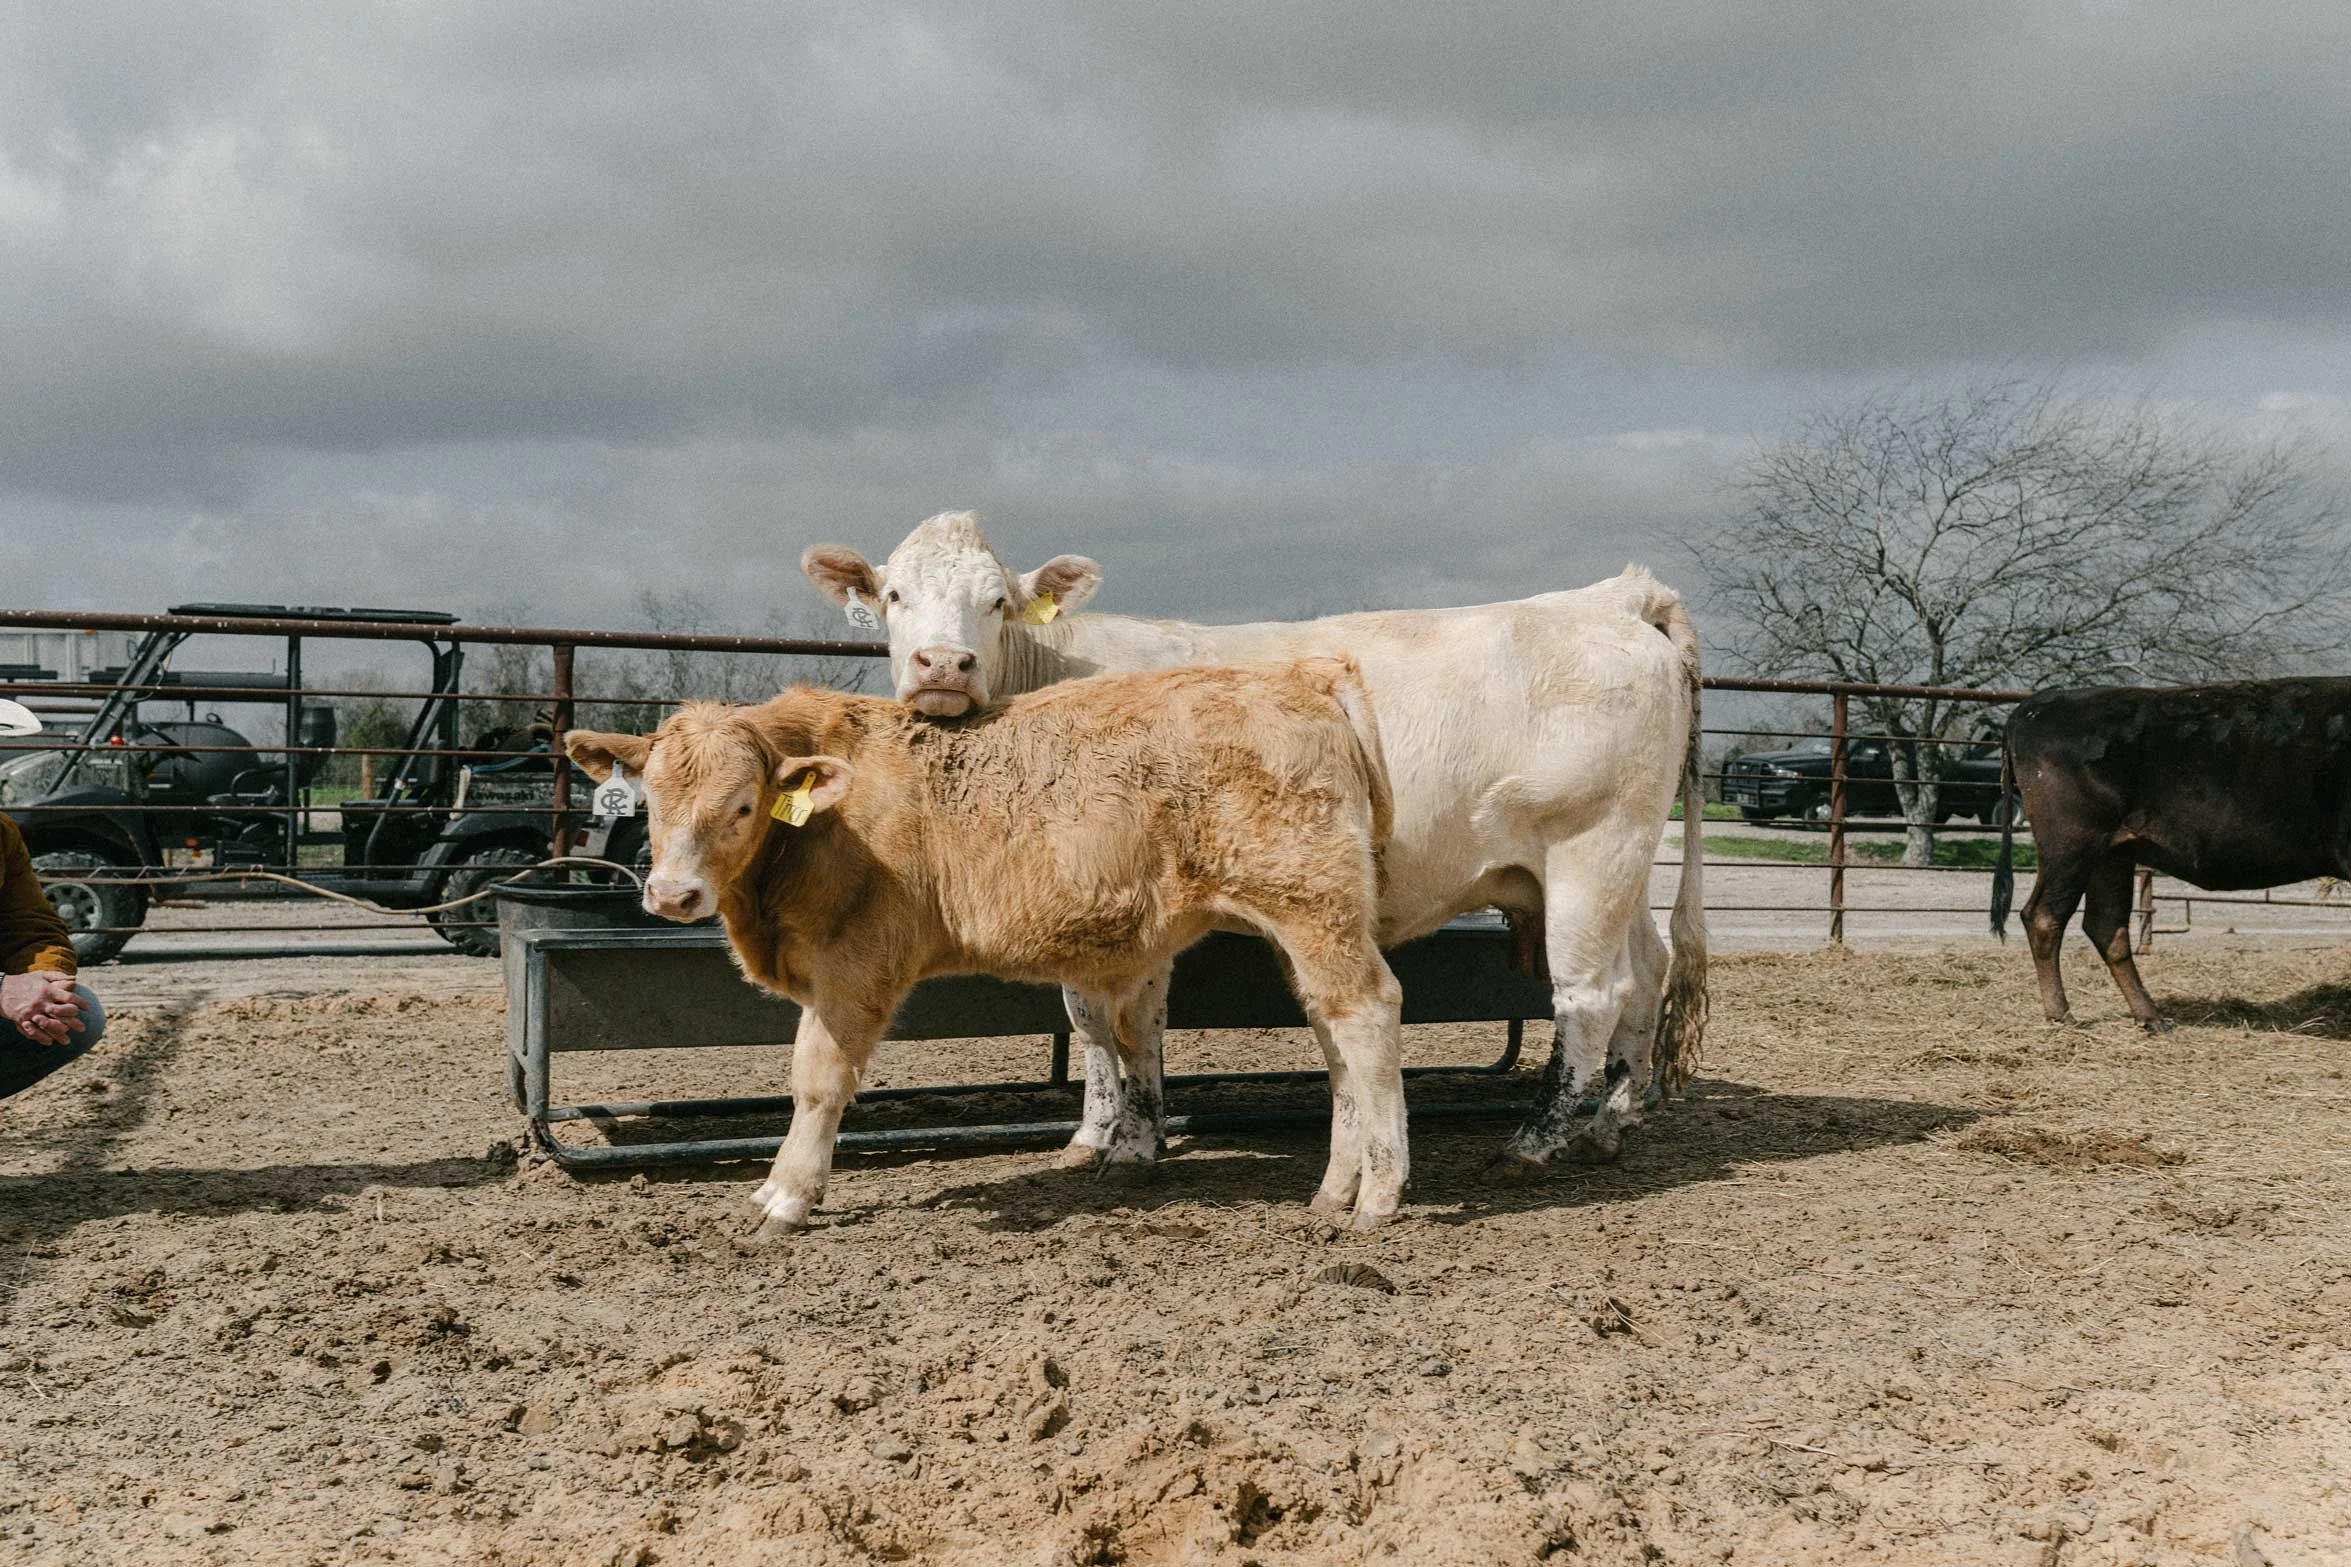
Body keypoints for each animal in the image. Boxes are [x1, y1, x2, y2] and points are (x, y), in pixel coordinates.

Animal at [562, 658, 1411, 1233]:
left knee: (1367, 1013)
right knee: (1331, 1031)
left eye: (743, 805)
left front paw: (788, 1193)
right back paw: (1335, 1186)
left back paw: (1379, 1193)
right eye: (650, 799)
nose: (673, 894)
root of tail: (1302, 677)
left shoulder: (854, 966)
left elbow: (817, 1080)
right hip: (1304, 920)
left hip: (1312, 904)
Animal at [801, 510, 1707, 1179]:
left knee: (1588, 992)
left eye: (995, 600)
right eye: (892, 593)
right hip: (1615, 862)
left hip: (1590, 844)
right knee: (1645, 971)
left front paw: (1136, 1140)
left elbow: (1129, 1016)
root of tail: (1611, 598)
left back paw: (1537, 1139)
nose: (941, 664)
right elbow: (1087, 1019)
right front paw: (1093, 1133)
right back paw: (1609, 1121)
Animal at [1991, 677, 2351, 1030]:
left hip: (2112, 854)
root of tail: (2035, 705)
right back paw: (2062, 1016)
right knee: (2044, 917)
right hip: (2071, 845)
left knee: (2106, 925)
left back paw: (2150, 1016)